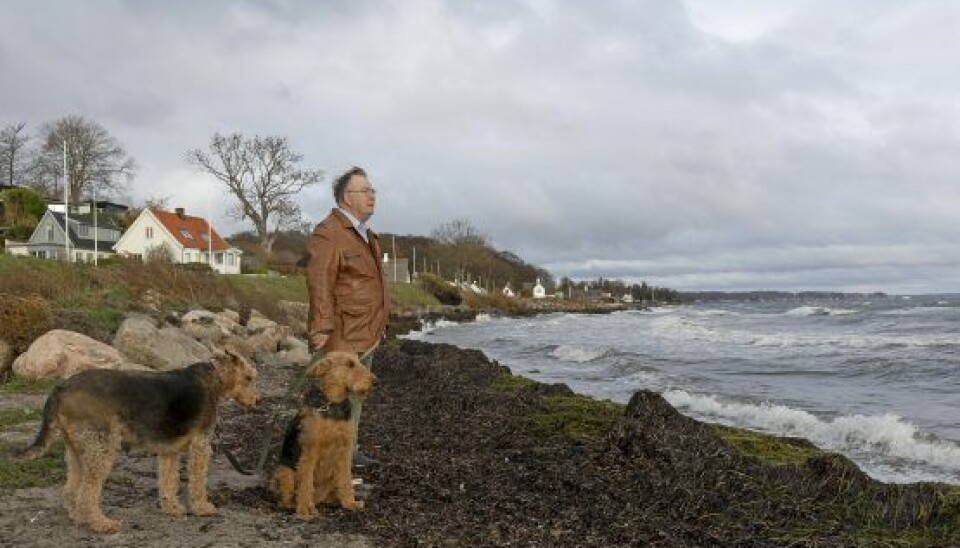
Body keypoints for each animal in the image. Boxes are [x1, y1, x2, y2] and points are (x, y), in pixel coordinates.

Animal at [19, 348, 258, 532]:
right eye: (249, 377)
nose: (257, 401)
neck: (216, 377)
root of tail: (61, 388)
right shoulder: (201, 445)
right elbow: (197, 482)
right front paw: (203, 508)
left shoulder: (169, 450)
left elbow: (168, 482)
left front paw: (173, 509)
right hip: (101, 447)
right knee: (88, 492)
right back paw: (103, 524)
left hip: (77, 449)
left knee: (72, 489)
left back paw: (79, 518)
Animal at [272, 352, 376, 520]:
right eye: (349, 364)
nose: (375, 382)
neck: (332, 403)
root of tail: (318, 498)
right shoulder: (310, 450)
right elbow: (306, 481)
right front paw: (305, 510)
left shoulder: (345, 449)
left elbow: (346, 480)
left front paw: (350, 503)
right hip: (285, 471)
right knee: (287, 497)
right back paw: (298, 505)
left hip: (332, 475)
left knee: (330, 493)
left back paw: (334, 500)